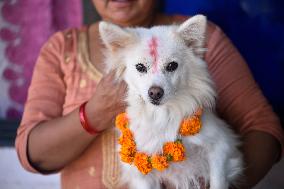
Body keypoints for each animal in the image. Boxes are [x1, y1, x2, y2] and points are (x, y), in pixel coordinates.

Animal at [98, 15, 243, 189]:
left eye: (172, 66)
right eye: (140, 67)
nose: (155, 92)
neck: (163, 115)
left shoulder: (220, 147)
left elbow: (218, 181)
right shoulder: (141, 175)